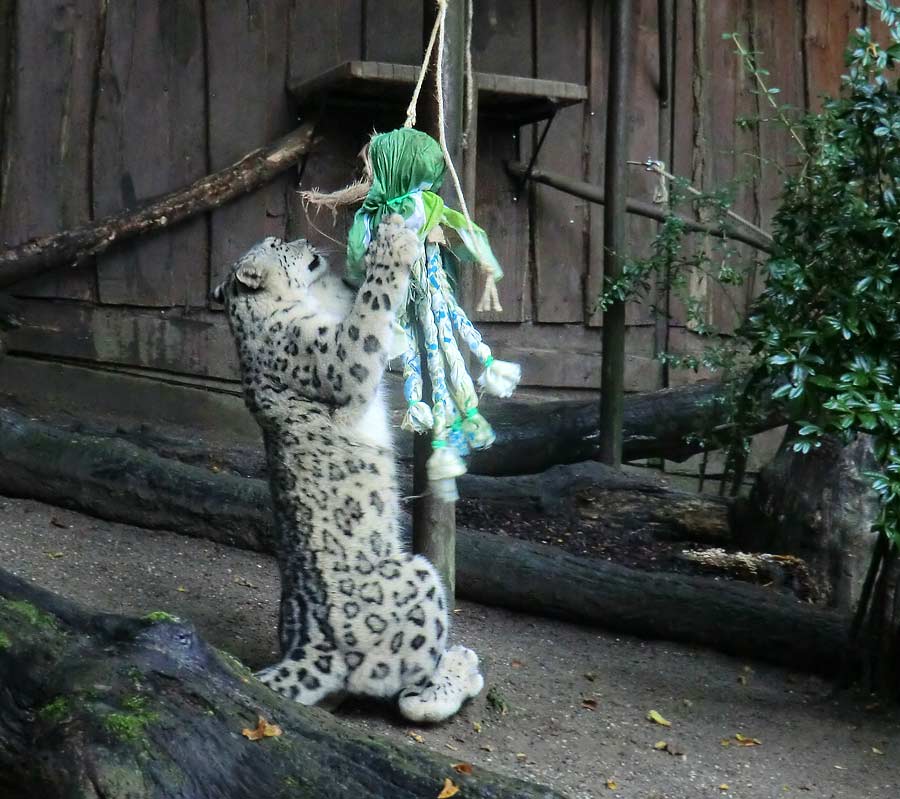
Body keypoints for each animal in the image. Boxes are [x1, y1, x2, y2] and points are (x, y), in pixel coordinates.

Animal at [214, 214, 486, 724]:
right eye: (279, 244)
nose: (305, 239)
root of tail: (310, 648)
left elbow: (359, 297)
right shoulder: (334, 355)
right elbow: (370, 313)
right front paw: (393, 241)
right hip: (418, 579)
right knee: (410, 695)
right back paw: (458, 669)